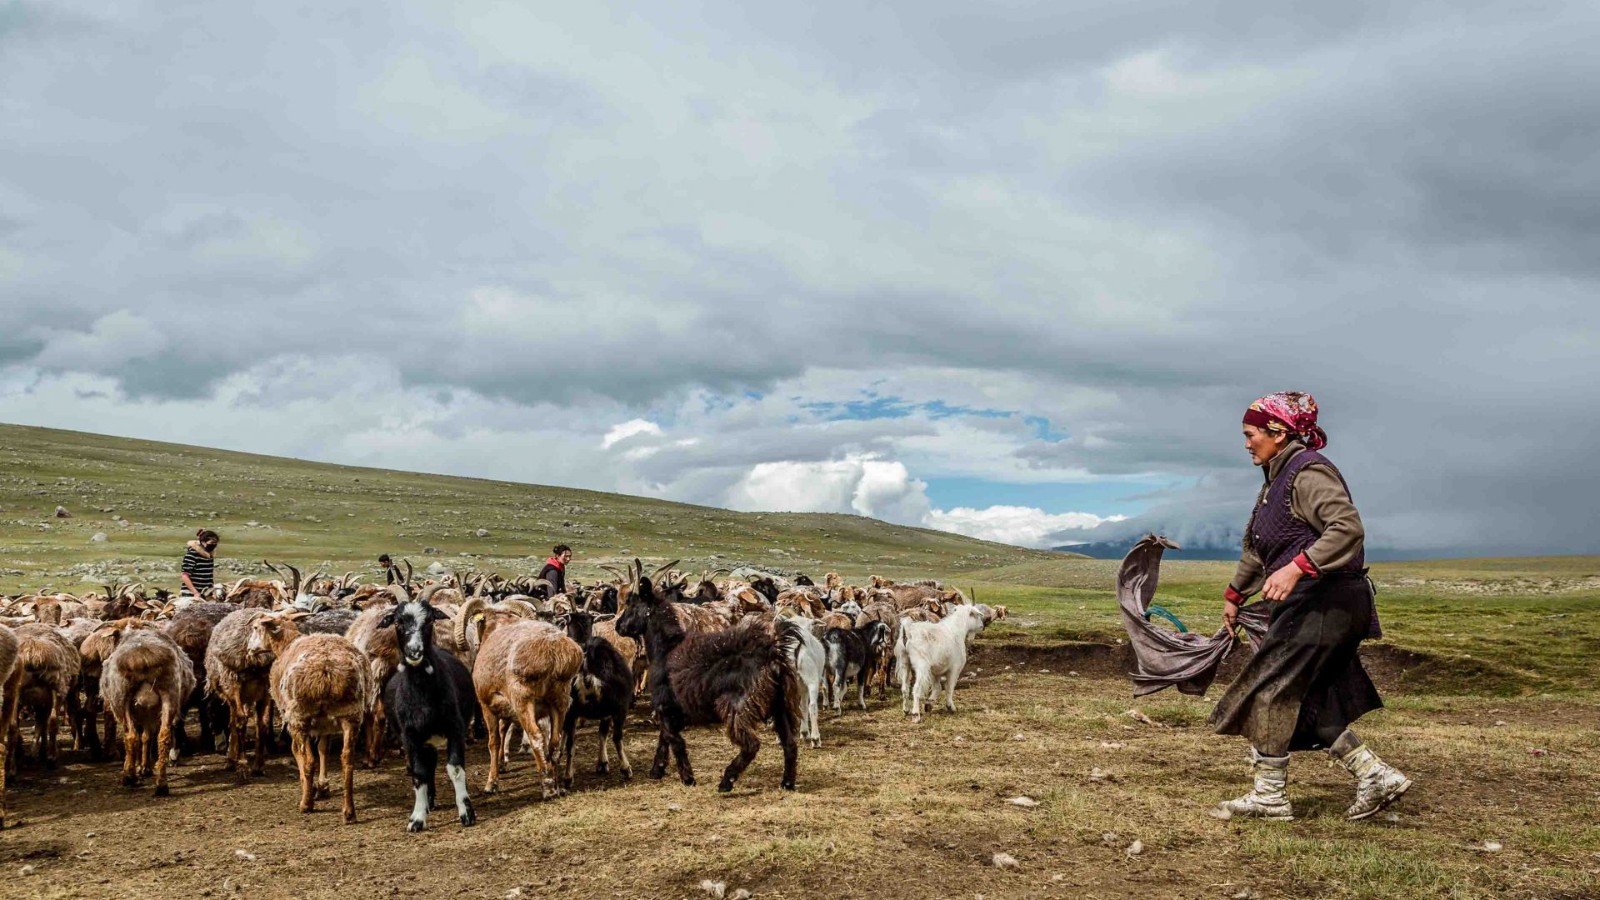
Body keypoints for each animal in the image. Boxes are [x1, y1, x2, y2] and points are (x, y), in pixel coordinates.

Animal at [101, 624, 195, 791]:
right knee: (163, 736)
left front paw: (138, 768)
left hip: (121, 698)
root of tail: (144, 655)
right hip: (169, 694)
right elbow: (146, 737)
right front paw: (144, 767)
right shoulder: (148, 715)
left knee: (131, 736)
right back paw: (161, 783)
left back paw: (129, 777)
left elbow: (141, 737)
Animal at [273, 627, 379, 826]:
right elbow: (324, 749)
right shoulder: (325, 725)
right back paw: (349, 812)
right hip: (350, 714)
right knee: (347, 759)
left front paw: (313, 788)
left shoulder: (299, 723)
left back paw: (306, 804)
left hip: (301, 715)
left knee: (308, 760)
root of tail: (326, 671)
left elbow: (300, 753)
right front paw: (322, 786)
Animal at [382, 592, 476, 832]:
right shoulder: (410, 738)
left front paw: (466, 812)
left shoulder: (455, 729)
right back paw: (428, 803)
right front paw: (416, 818)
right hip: (424, 741)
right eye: (397, 622)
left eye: (430, 620)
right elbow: (418, 775)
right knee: (428, 766)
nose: (414, 651)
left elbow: (455, 769)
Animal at [470, 614, 585, 791]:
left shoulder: (486, 705)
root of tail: (553, 652)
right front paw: (502, 764)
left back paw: (547, 785)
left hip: (523, 699)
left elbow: (494, 741)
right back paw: (556, 780)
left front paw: (491, 782)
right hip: (561, 699)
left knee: (536, 736)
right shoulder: (506, 709)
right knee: (556, 740)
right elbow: (503, 731)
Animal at [560, 608, 633, 784]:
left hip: (571, 710)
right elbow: (605, 733)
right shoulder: (612, 709)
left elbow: (601, 733)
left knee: (571, 742)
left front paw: (602, 763)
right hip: (620, 706)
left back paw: (566, 773)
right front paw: (605, 764)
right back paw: (626, 768)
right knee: (616, 736)